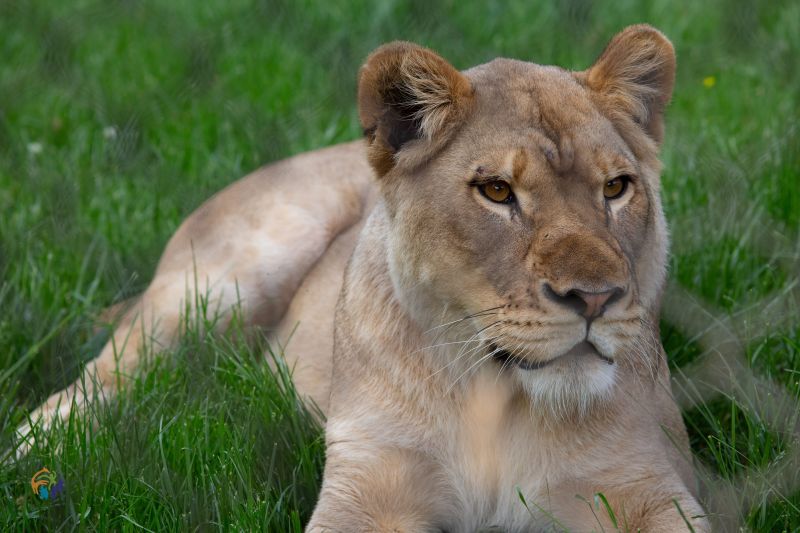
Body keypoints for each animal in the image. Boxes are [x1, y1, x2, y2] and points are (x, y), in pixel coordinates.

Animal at [18, 25, 709, 531]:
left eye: (616, 188)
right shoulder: (369, 482)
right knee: (100, 376)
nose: (595, 298)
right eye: (496, 191)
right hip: (217, 283)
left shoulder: (645, 484)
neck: (498, 400)